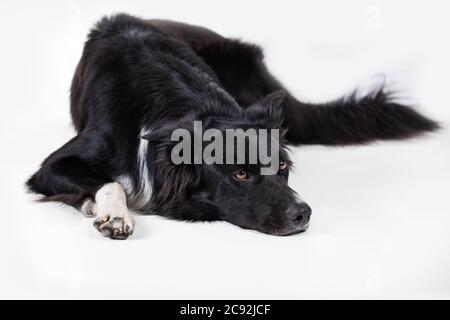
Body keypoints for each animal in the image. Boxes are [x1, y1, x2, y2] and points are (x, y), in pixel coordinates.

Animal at [26, 13, 438, 239]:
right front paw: (113, 214)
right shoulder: (52, 166)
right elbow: (110, 181)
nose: (303, 214)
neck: (189, 104)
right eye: (240, 174)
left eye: (282, 166)